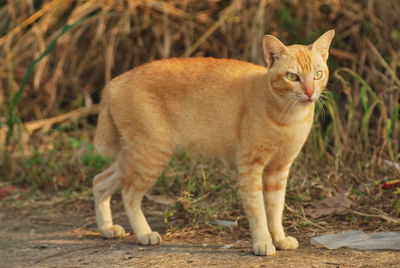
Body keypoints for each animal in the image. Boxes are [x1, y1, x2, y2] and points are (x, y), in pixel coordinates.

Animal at [93, 29, 334, 255]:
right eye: (293, 77)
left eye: (318, 74)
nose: (310, 93)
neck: (289, 118)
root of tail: (116, 81)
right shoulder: (250, 166)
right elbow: (257, 209)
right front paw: (263, 243)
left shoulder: (279, 169)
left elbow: (275, 209)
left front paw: (280, 239)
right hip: (151, 155)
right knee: (129, 194)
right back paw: (144, 233)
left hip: (134, 156)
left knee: (100, 181)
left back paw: (107, 229)